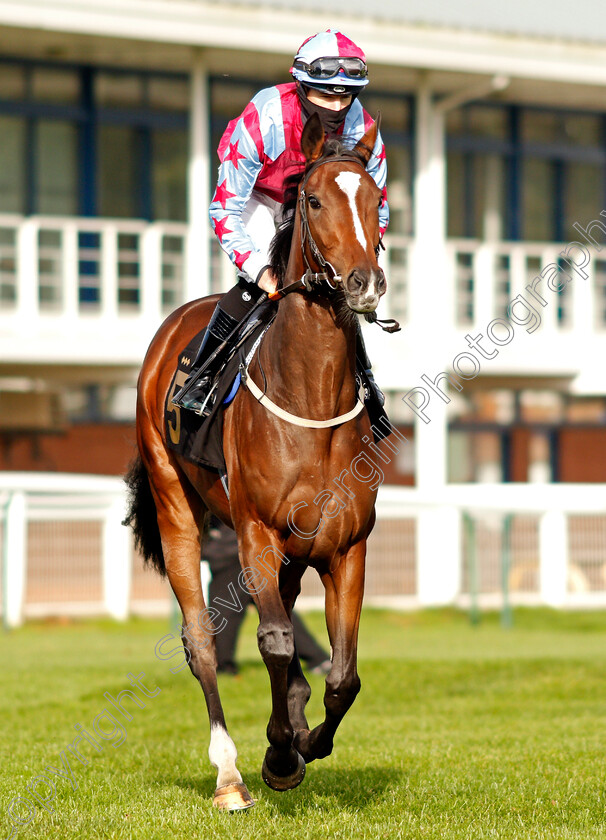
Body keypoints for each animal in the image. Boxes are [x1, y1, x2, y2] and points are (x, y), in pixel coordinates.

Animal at [124, 115, 390, 812]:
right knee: (201, 640)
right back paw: (230, 775)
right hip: (177, 507)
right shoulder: (257, 534)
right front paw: (278, 755)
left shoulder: (346, 545)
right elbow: (273, 641)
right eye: (315, 201)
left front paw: (306, 740)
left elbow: (344, 673)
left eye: (376, 201)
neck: (309, 398)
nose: (365, 282)